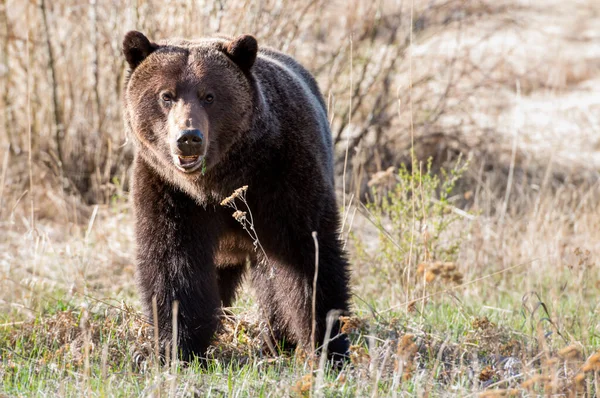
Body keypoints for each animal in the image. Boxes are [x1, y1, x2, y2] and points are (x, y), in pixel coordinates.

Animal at [122, 31, 352, 364]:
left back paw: (276, 340)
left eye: (209, 95)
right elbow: (173, 266)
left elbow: (308, 256)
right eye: (167, 95)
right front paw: (176, 347)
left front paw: (327, 345)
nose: (188, 138)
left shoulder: (282, 177)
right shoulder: (168, 190)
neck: (217, 181)